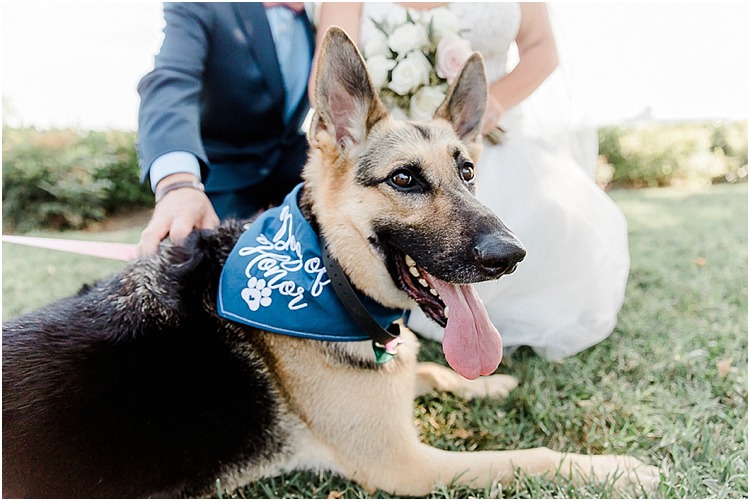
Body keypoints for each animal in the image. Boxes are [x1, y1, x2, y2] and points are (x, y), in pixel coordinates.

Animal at [1, 29, 656, 498]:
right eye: (405, 179)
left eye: (467, 171)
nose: (512, 255)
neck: (329, 277)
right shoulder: (406, 465)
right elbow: (529, 456)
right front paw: (618, 469)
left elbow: (431, 369)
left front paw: (489, 383)